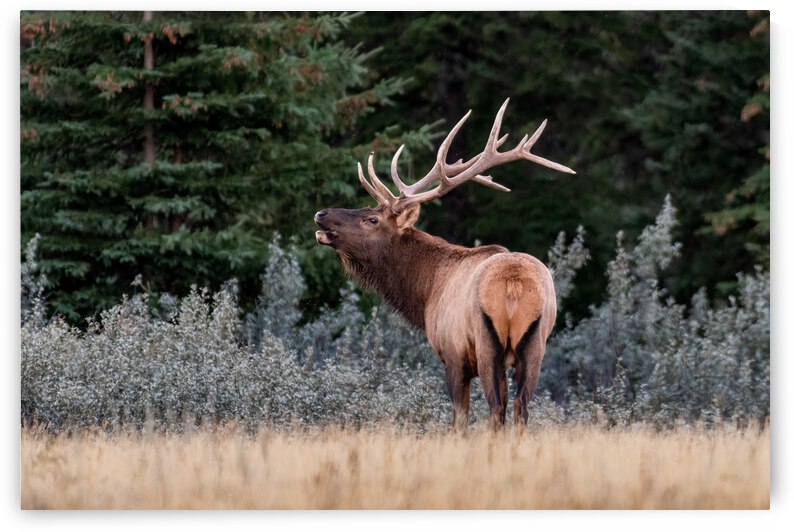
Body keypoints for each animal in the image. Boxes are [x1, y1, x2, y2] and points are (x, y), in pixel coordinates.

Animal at [314, 98, 575, 431]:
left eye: (371, 219)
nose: (321, 214)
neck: (426, 292)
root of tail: (513, 283)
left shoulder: (453, 355)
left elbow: (459, 419)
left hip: (487, 344)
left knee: (496, 407)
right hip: (535, 344)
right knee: (520, 407)